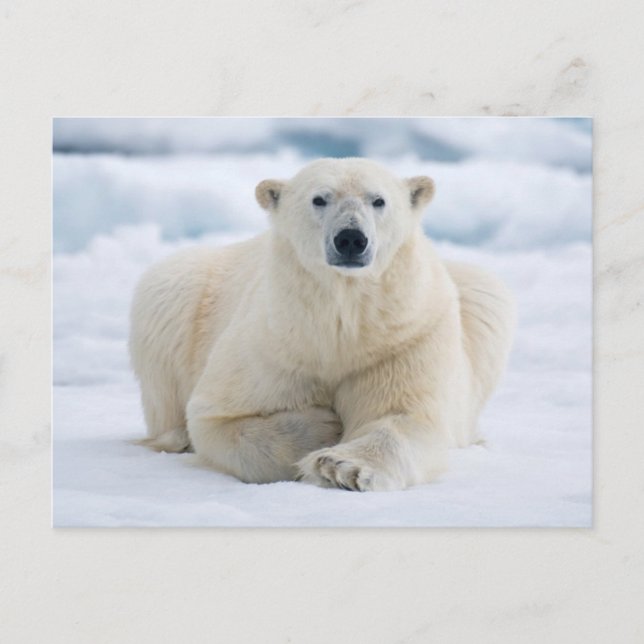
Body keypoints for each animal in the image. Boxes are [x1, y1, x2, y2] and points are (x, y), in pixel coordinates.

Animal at [129, 158, 515, 491]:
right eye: (319, 198)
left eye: (378, 200)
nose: (351, 238)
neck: (339, 324)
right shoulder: (273, 342)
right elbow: (217, 417)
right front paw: (324, 426)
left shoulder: (405, 338)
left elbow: (405, 416)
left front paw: (340, 466)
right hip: (182, 287)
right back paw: (174, 438)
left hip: (476, 296)